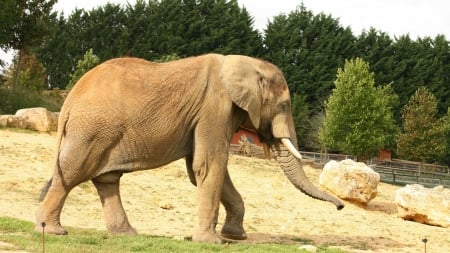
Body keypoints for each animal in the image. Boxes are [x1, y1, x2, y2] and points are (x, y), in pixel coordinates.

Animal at [36, 53, 344, 243]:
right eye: (284, 105)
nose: (341, 206)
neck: (245, 63)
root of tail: (69, 101)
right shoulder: (214, 108)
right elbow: (209, 165)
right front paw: (212, 242)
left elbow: (204, 169)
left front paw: (235, 237)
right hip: (92, 130)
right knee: (73, 174)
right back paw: (52, 231)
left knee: (106, 179)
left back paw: (126, 234)